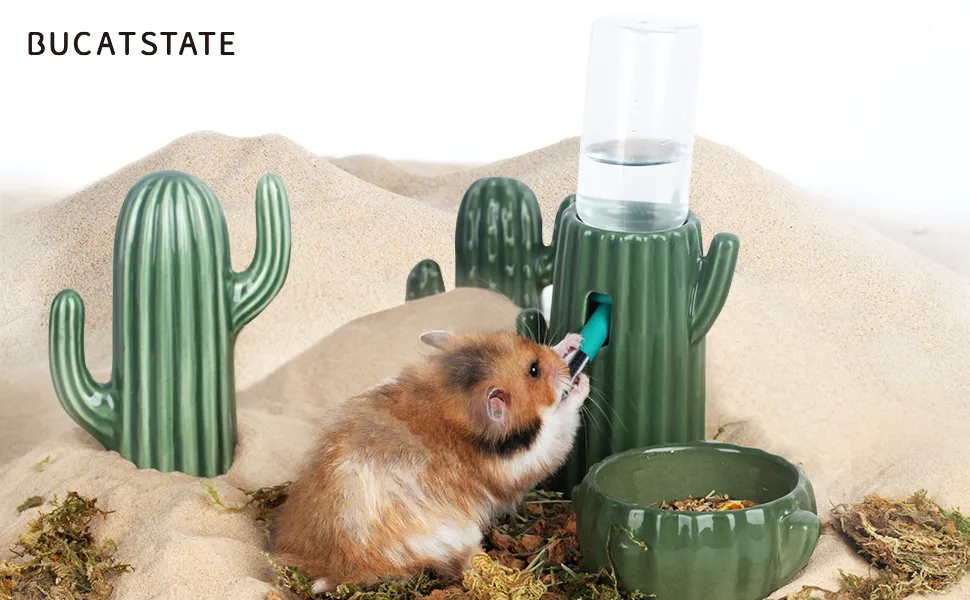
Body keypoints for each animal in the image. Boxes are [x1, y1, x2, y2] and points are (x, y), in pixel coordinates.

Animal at [270, 329, 590, 594]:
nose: (568, 366)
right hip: (452, 538)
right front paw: (581, 383)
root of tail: (335, 569)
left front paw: (573, 342)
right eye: (534, 371)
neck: (452, 405)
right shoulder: (526, 462)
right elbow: (559, 426)